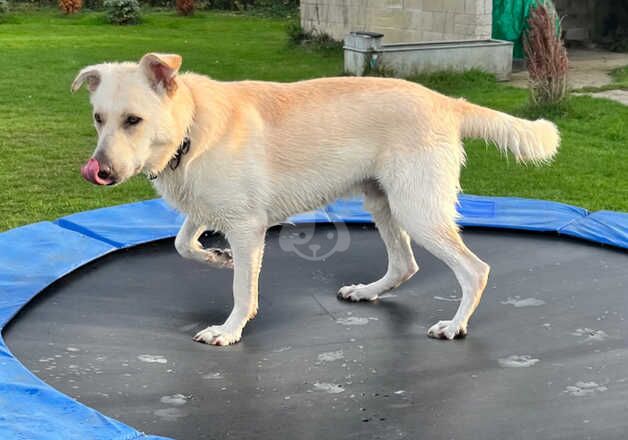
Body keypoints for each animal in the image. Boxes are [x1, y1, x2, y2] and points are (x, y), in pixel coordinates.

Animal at [72, 53, 560, 346]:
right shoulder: (207, 208)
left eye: (133, 120)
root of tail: (445, 101)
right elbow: (182, 244)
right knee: (405, 265)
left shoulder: (247, 226)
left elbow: (242, 290)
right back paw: (368, 291)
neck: (191, 127)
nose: (100, 172)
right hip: (382, 203)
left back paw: (456, 325)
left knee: (474, 270)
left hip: (416, 210)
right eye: (98, 118)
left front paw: (230, 329)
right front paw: (217, 258)